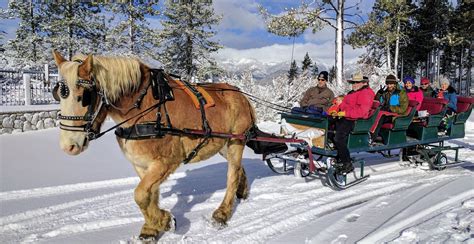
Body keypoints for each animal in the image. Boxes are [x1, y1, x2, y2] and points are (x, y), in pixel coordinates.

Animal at [52, 50, 256, 239]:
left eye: (84, 96)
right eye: (58, 95)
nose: (68, 146)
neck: (144, 109)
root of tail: (241, 95)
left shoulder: (166, 162)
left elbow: (140, 194)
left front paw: (164, 221)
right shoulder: (141, 164)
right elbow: (150, 195)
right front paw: (152, 227)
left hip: (236, 141)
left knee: (232, 174)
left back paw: (222, 213)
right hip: (223, 144)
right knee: (238, 169)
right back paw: (242, 191)